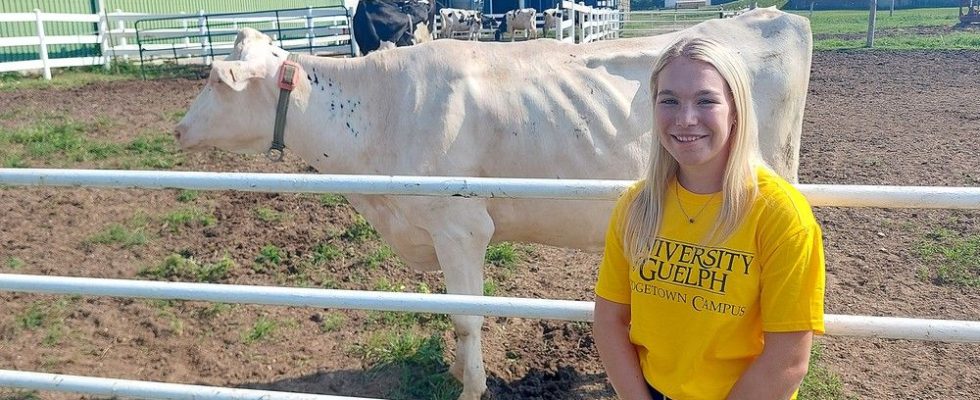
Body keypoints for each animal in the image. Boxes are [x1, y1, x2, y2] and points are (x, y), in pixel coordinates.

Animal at [174, 7, 812, 398]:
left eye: (213, 79)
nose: (177, 129)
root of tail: (769, 15)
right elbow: (458, 317)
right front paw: (460, 368)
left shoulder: (460, 227)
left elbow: (466, 316)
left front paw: (471, 384)